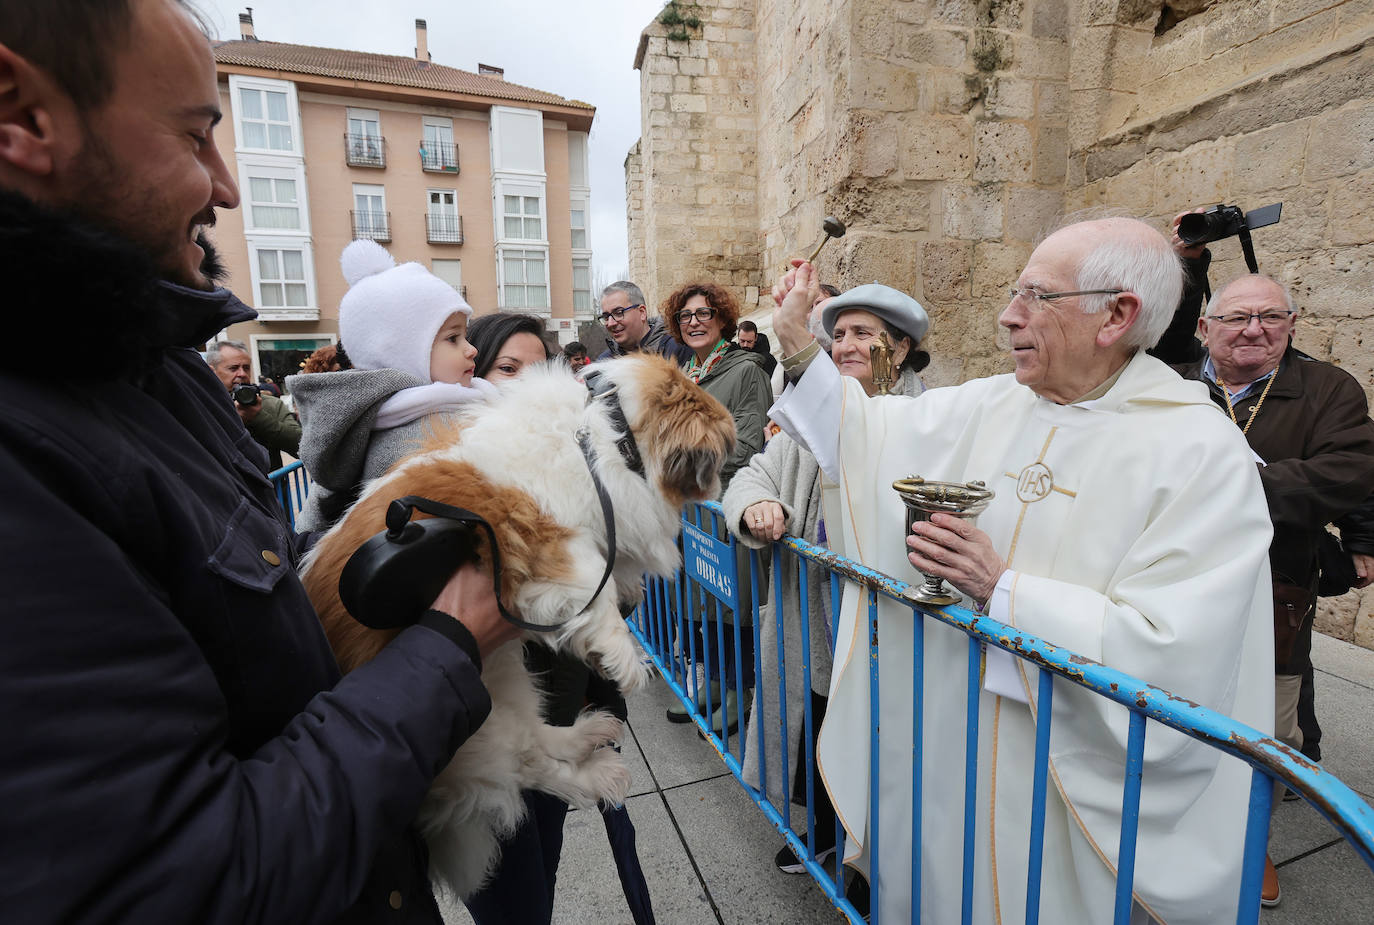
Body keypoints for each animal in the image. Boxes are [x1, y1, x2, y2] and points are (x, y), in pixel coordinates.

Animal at [296, 351, 736, 896]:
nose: (722, 484)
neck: (605, 435)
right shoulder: (548, 542)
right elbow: (596, 585)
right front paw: (626, 662)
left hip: (504, 680)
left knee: (539, 738)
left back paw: (589, 734)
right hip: (475, 722)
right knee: (529, 764)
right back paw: (599, 776)